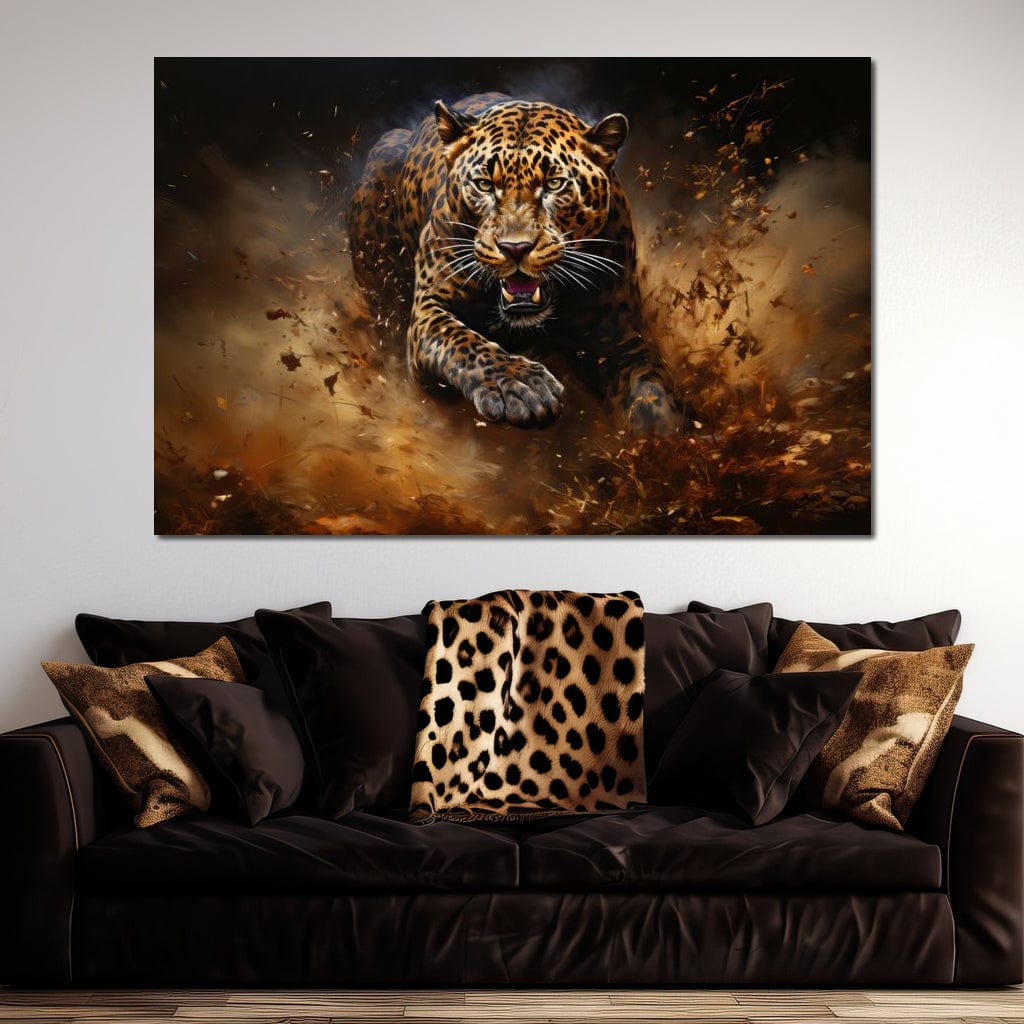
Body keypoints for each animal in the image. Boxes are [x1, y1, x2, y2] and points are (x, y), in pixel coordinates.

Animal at [348, 92, 683, 434]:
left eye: (554, 184)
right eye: (484, 184)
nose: (515, 248)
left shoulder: (619, 334)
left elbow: (651, 388)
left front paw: (663, 434)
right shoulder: (429, 309)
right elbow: (464, 343)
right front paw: (522, 386)